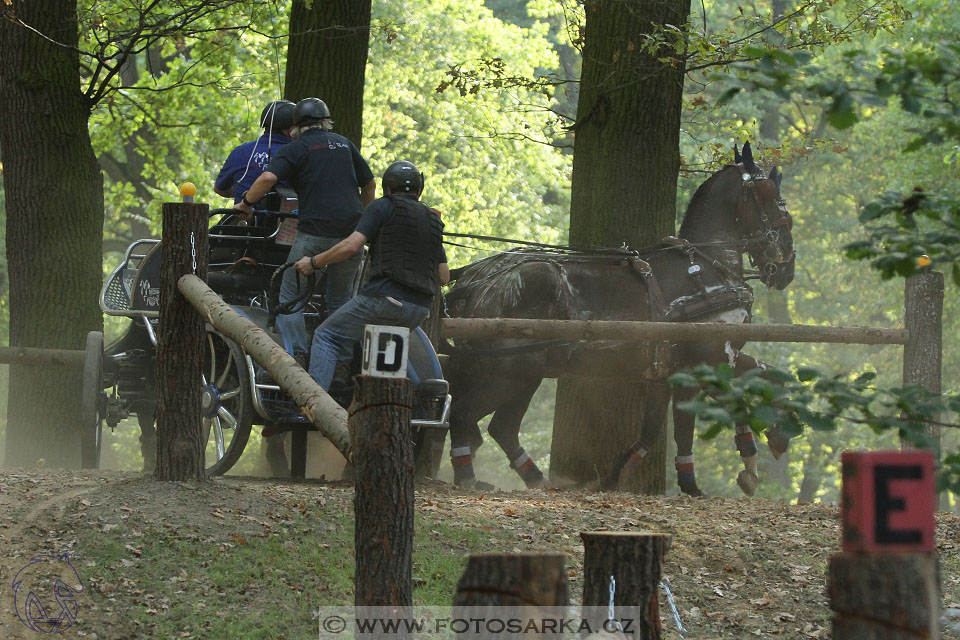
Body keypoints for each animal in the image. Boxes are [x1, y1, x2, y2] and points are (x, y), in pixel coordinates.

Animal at [440, 142, 796, 496]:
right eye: (772, 198)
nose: (787, 268)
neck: (707, 269)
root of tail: (481, 281)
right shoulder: (708, 361)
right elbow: (715, 412)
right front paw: (742, 465)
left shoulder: (673, 372)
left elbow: (657, 430)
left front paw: (620, 478)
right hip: (513, 370)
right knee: (465, 414)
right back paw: (469, 475)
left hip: (517, 371)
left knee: (500, 427)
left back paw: (534, 479)